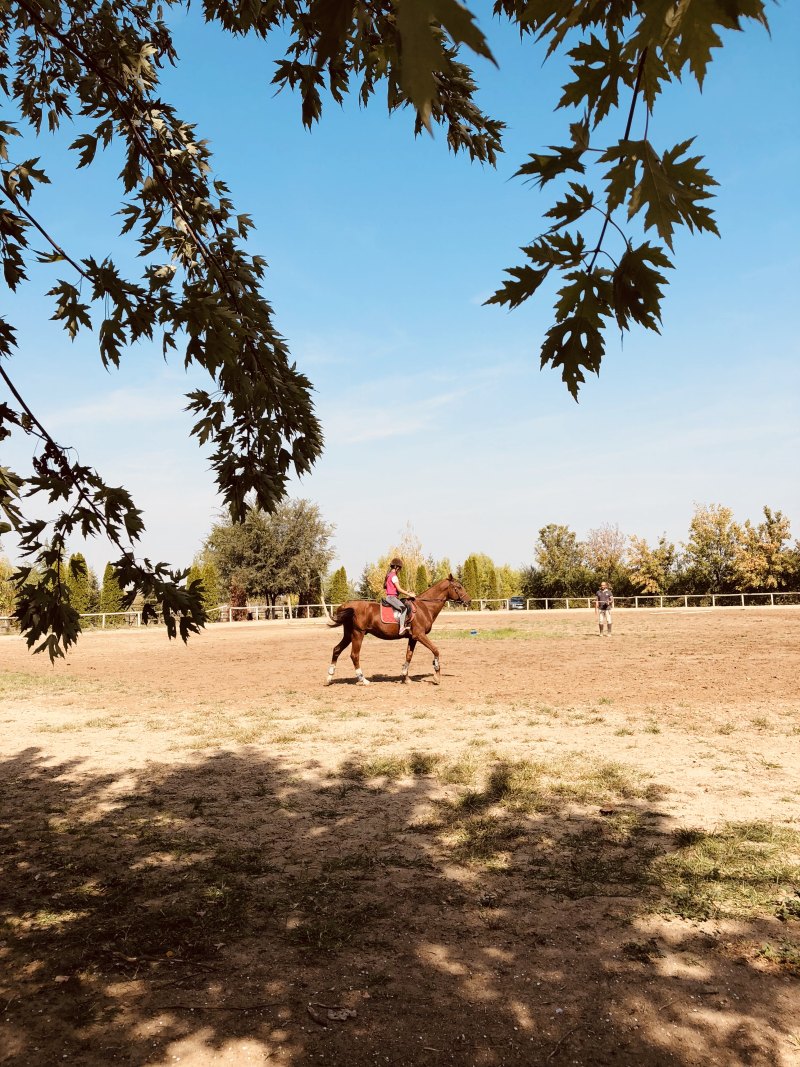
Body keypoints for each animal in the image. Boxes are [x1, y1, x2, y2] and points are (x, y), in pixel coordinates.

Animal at [326, 571, 473, 687]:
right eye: (458, 587)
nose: (469, 601)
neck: (425, 607)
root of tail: (346, 605)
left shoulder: (413, 638)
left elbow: (409, 656)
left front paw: (405, 677)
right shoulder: (420, 635)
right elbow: (436, 650)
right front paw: (436, 676)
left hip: (348, 634)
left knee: (336, 650)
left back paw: (329, 678)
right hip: (358, 634)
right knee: (354, 655)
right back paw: (363, 680)